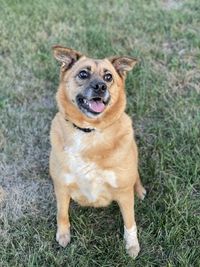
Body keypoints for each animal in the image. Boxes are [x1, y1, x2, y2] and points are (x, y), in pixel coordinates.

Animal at [49, 45, 146, 258]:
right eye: (83, 74)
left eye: (108, 77)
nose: (101, 87)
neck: (89, 132)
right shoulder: (61, 185)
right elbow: (61, 213)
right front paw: (63, 235)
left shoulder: (123, 193)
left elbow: (130, 222)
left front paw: (132, 246)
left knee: (136, 175)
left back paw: (140, 190)